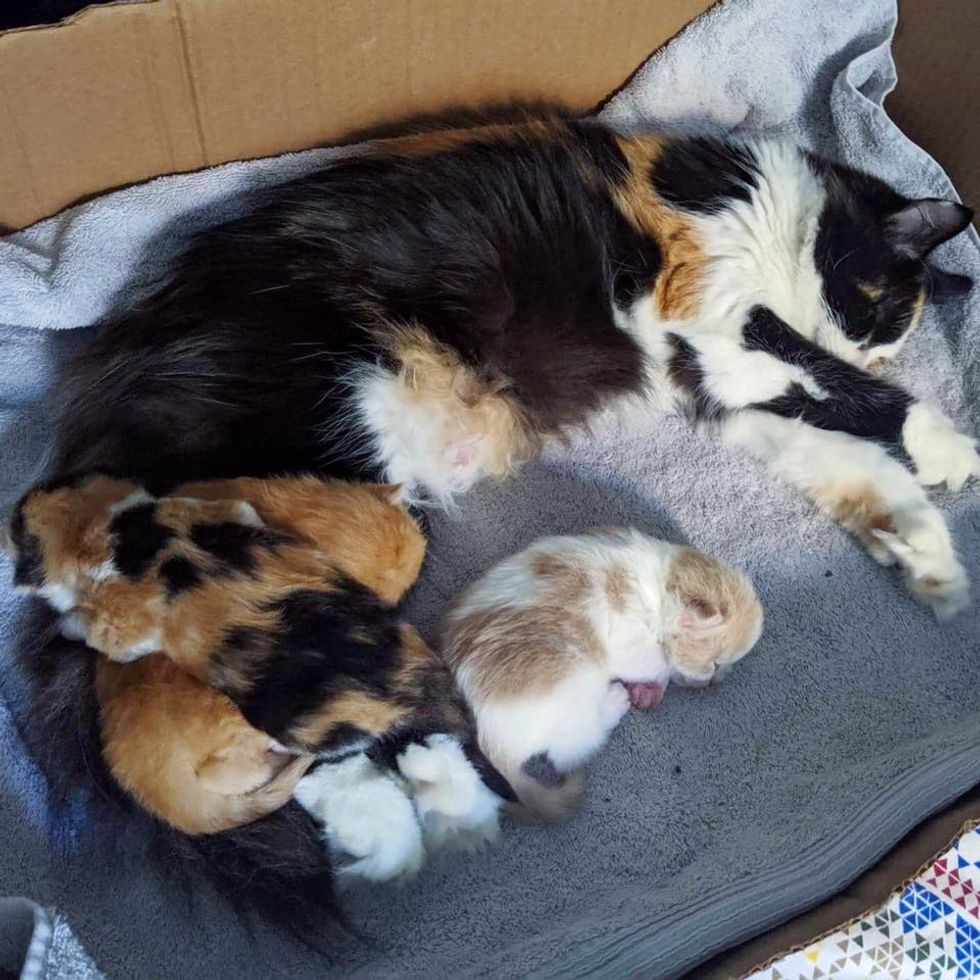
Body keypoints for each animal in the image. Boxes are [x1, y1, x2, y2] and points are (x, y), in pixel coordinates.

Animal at [49, 109, 976, 612]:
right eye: (874, 305)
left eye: (889, 340)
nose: (866, 348)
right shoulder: (706, 307)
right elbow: (831, 380)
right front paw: (946, 448)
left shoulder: (722, 388)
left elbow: (840, 452)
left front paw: (922, 550)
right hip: (336, 419)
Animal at [438, 528, 764, 820]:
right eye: (715, 664)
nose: (715, 681)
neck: (654, 587)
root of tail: (488, 738)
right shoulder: (626, 633)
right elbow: (657, 662)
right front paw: (655, 682)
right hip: (577, 670)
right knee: (570, 750)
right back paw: (616, 701)